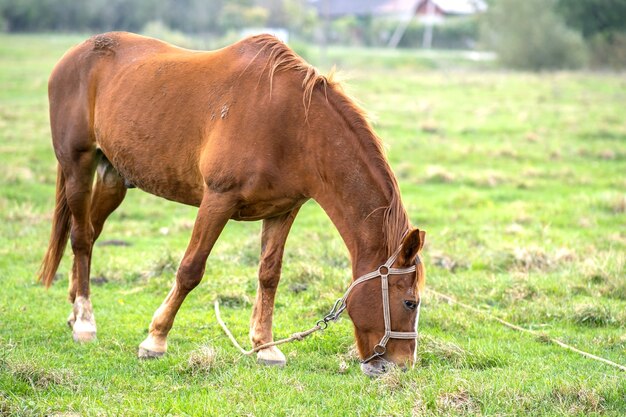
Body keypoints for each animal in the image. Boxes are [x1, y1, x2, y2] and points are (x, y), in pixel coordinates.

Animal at [37, 31, 424, 374]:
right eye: (410, 301)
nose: (400, 366)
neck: (295, 126)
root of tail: (73, 55)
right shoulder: (217, 199)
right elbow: (190, 269)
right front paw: (155, 339)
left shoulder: (284, 210)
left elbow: (269, 275)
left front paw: (265, 346)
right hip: (78, 166)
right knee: (81, 238)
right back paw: (85, 321)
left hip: (114, 176)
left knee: (89, 232)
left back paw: (75, 309)